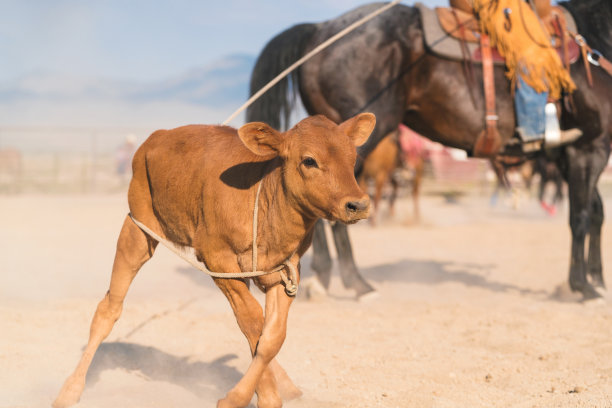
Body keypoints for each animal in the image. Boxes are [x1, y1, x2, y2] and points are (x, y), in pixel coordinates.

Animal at [52, 113, 376, 408]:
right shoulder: (218, 262)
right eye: (309, 160)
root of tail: (157, 137)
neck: (264, 197)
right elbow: (252, 323)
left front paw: (265, 392)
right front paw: (246, 397)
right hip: (137, 232)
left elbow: (271, 338)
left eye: (353, 158)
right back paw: (69, 390)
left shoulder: (286, 271)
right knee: (109, 309)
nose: (358, 204)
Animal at [247, 0, 612, 300]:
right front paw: (582, 287)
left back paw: (323, 280)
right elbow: (580, 216)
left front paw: (597, 281)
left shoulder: (570, 155)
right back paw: (358, 284)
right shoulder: (588, 148)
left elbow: (596, 212)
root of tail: (319, 30)